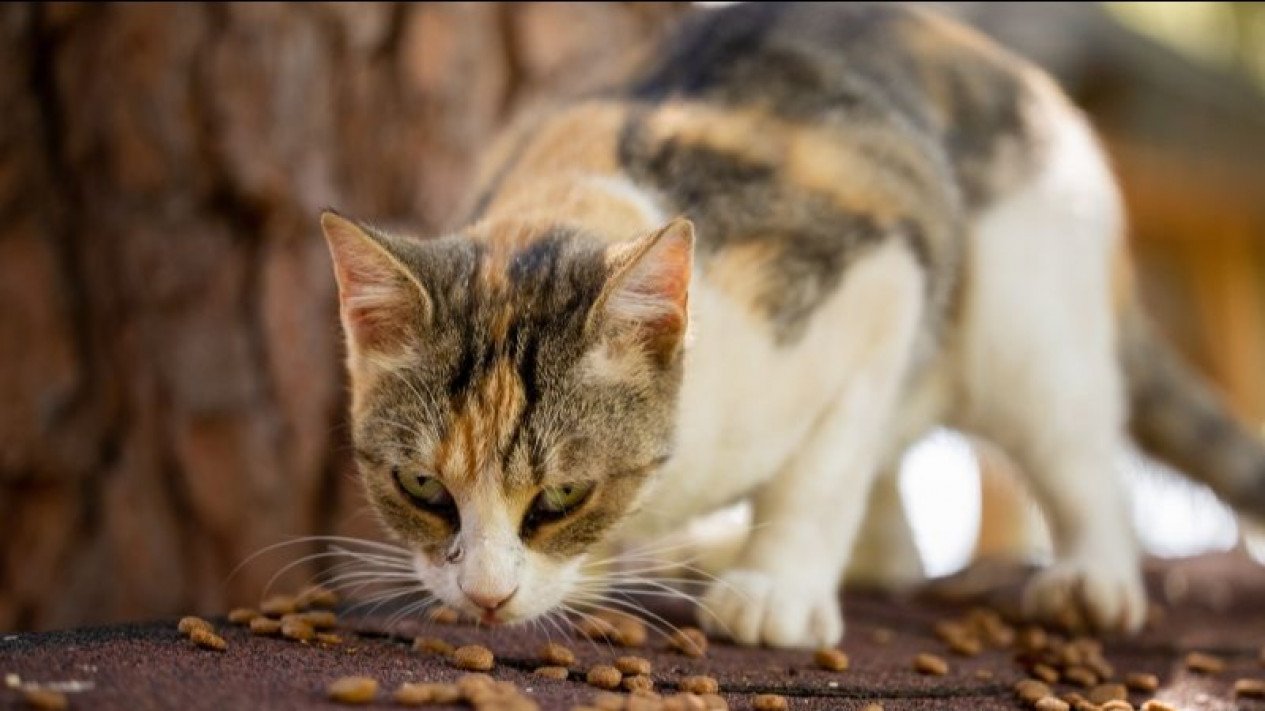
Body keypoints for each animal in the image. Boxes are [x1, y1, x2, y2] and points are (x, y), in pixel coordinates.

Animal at [318, 1, 1265, 647]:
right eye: (423, 487)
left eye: (560, 497)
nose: (483, 595)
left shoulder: (878, 274)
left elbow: (822, 468)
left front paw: (775, 590)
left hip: (1023, 314)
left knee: (1074, 451)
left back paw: (1091, 578)